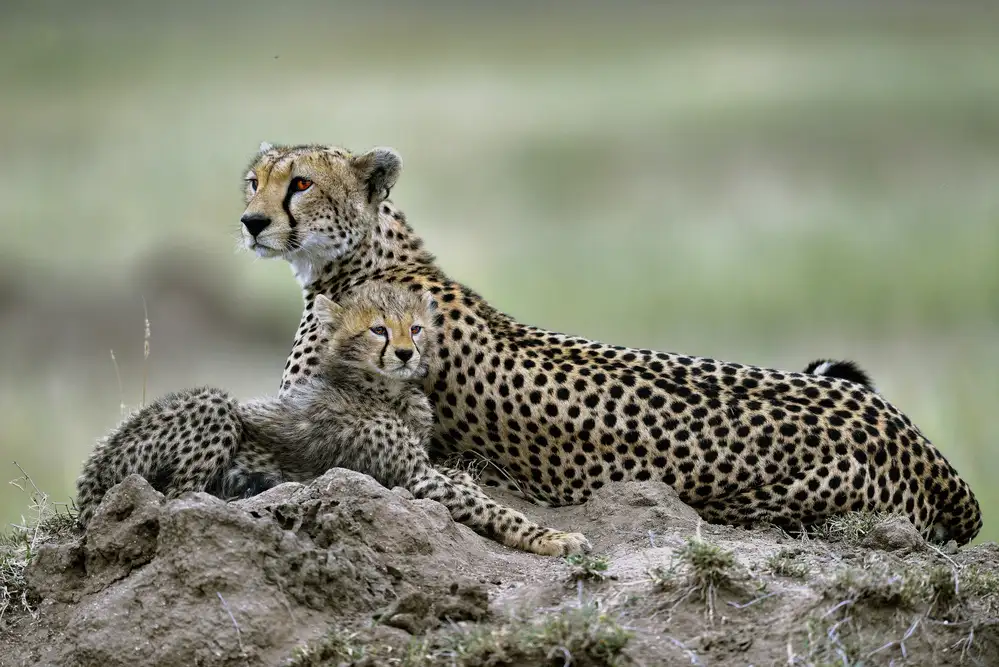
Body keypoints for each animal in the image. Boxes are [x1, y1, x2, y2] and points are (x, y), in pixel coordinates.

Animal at [75, 281, 590, 556]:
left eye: (415, 328)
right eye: (379, 329)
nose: (406, 353)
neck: (382, 388)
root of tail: (89, 482)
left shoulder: (423, 465)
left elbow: (464, 481)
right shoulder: (416, 477)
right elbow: (494, 509)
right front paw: (555, 537)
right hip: (212, 407)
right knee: (179, 496)